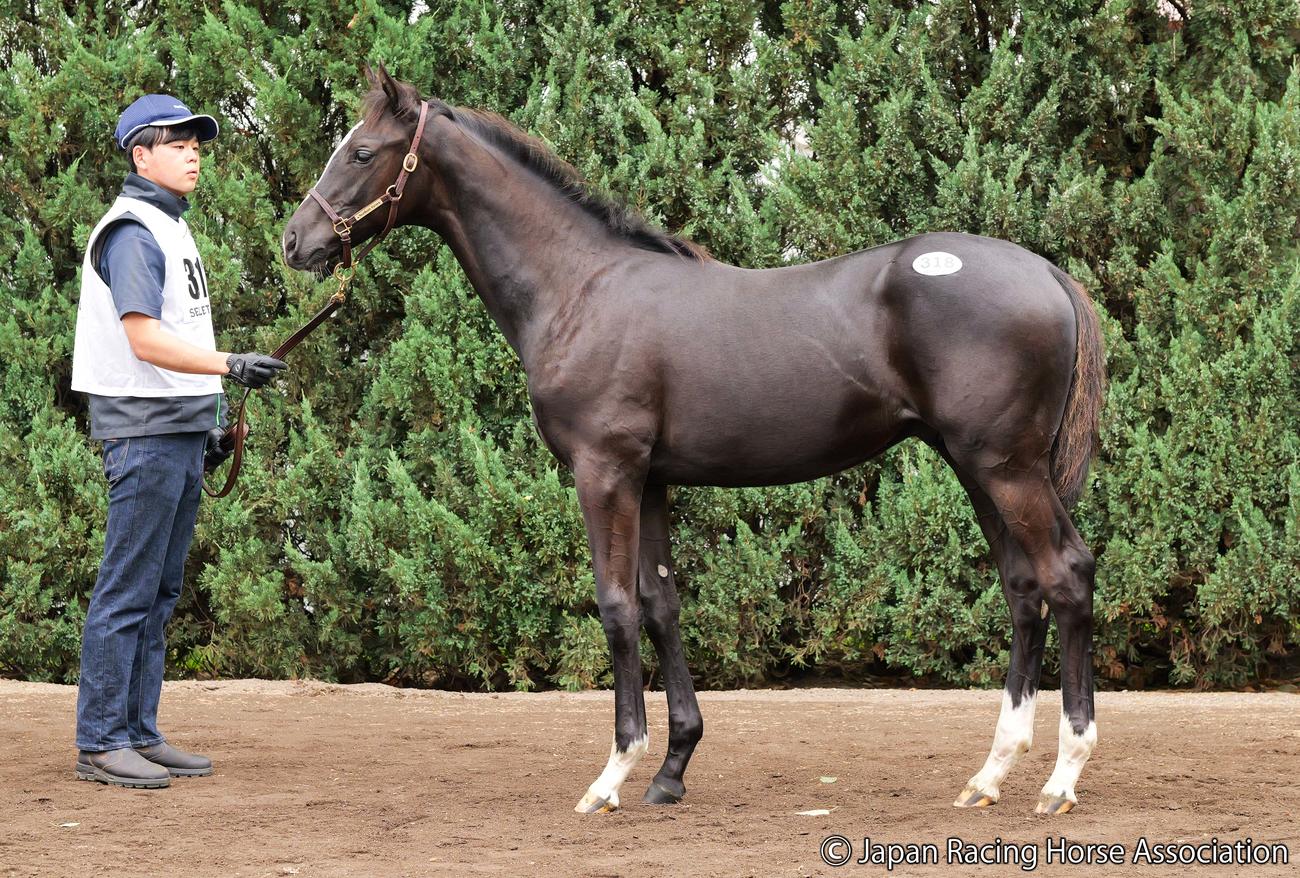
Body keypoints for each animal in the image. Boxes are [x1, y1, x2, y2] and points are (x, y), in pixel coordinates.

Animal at [282, 66, 1106, 816]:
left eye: (361, 151)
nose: (296, 240)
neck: (580, 287)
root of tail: (1048, 274)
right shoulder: (650, 478)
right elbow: (660, 603)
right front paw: (671, 768)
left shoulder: (603, 471)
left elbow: (616, 605)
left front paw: (613, 775)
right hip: (975, 465)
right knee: (1023, 587)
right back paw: (990, 774)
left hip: (1006, 469)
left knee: (1066, 575)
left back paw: (1062, 778)